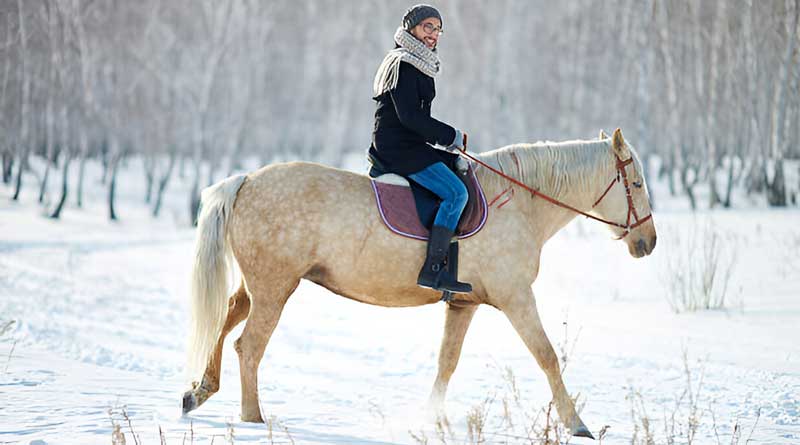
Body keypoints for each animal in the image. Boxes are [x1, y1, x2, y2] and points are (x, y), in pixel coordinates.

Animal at [181, 128, 656, 439]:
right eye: (634, 182)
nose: (647, 242)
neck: (518, 202)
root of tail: (245, 181)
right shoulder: (516, 298)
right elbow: (547, 357)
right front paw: (577, 425)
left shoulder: (465, 304)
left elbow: (447, 362)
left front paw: (428, 419)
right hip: (275, 289)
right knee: (248, 346)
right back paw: (252, 419)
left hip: (262, 285)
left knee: (226, 319)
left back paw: (199, 392)